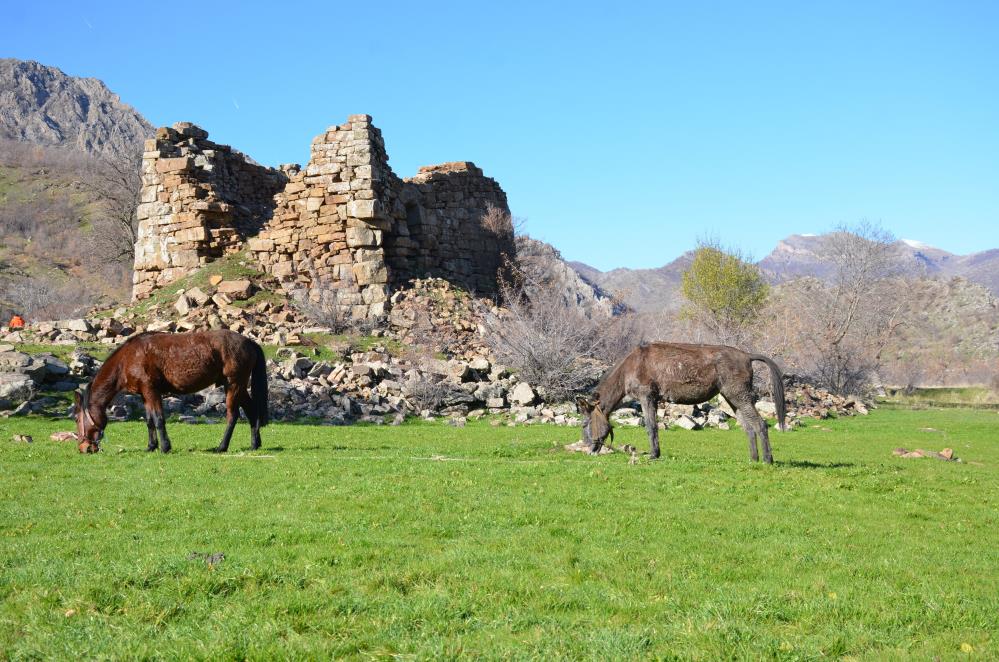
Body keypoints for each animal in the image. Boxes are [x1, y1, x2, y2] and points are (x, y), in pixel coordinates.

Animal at [74, 330, 270, 454]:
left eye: (76, 419)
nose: (83, 448)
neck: (128, 358)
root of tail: (249, 342)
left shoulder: (152, 391)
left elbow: (159, 419)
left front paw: (165, 447)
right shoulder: (145, 395)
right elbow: (149, 421)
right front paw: (151, 446)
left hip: (234, 385)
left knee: (232, 416)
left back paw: (222, 447)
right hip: (239, 387)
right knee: (252, 411)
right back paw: (254, 444)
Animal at [580, 344, 788, 464]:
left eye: (585, 424)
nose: (590, 450)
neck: (630, 366)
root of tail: (747, 355)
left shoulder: (647, 397)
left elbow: (651, 427)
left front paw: (653, 455)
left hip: (739, 396)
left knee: (760, 424)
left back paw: (767, 460)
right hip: (732, 399)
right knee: (749, 428)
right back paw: (754, 459)